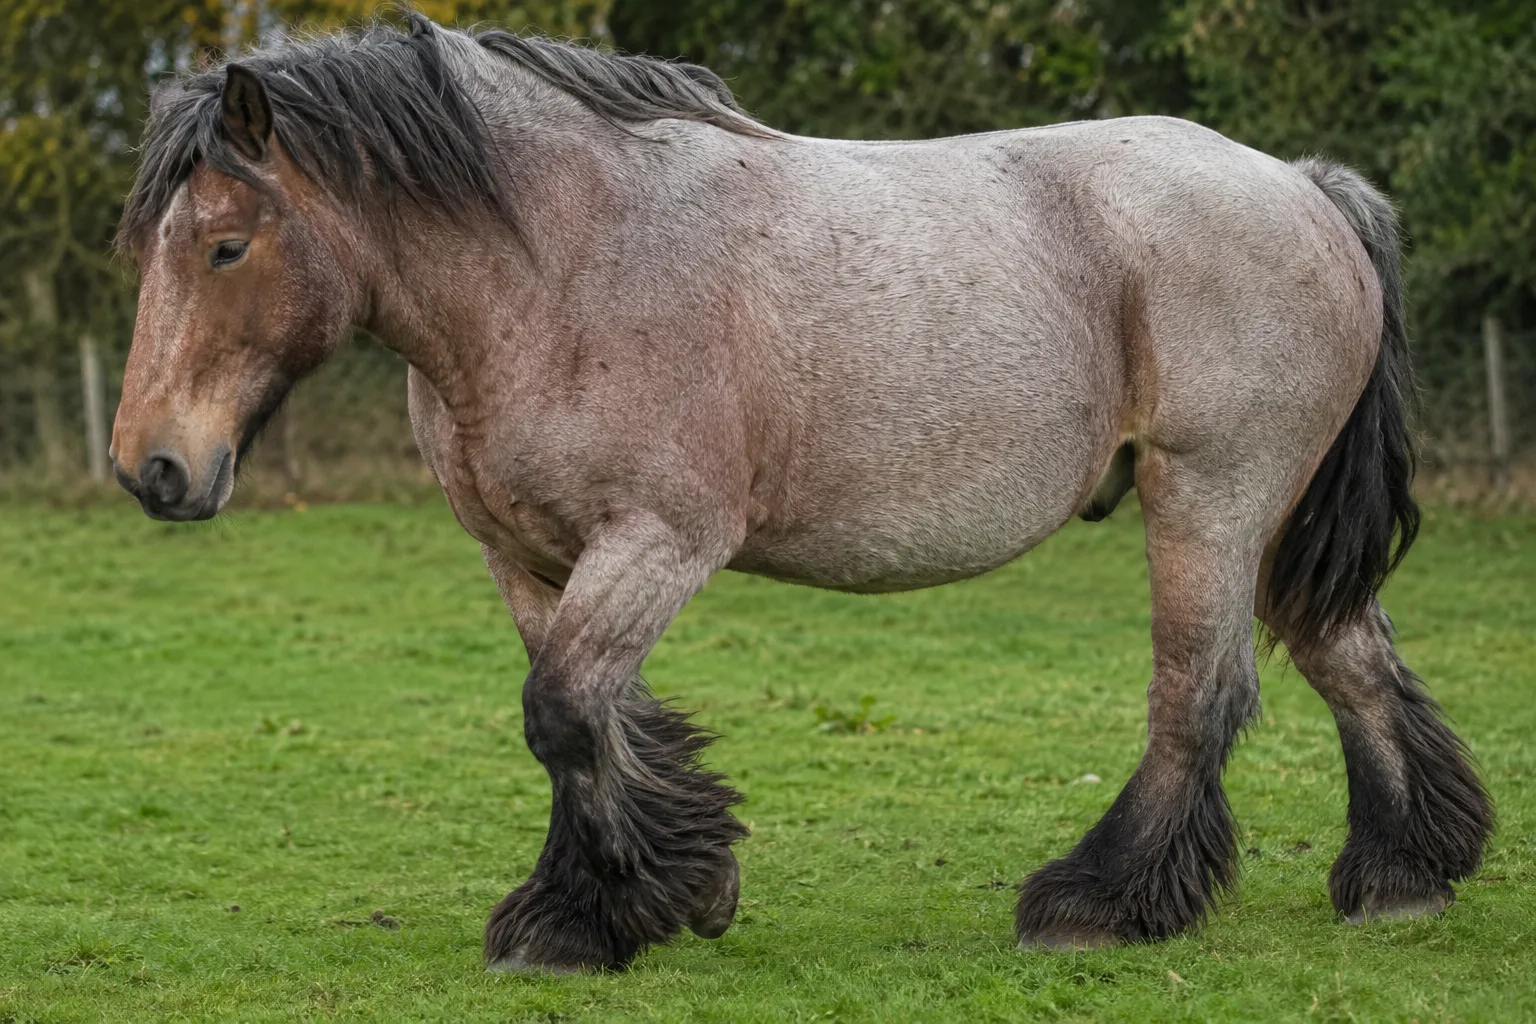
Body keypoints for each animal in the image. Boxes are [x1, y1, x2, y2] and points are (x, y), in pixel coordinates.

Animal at [110, 15, 1491, 971]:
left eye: (225, 245)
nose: (152, 467)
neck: (559, 262)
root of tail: (1307, 184)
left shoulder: (662, 539)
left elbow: (564, 710)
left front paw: (596, 914)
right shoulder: (531, 555)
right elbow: (588, 718)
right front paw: (648, 892)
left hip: (1209, 496)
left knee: (1200, 693)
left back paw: (1100, 901)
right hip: (1269, 514)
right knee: (1348, 654)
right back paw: (1402, 875)